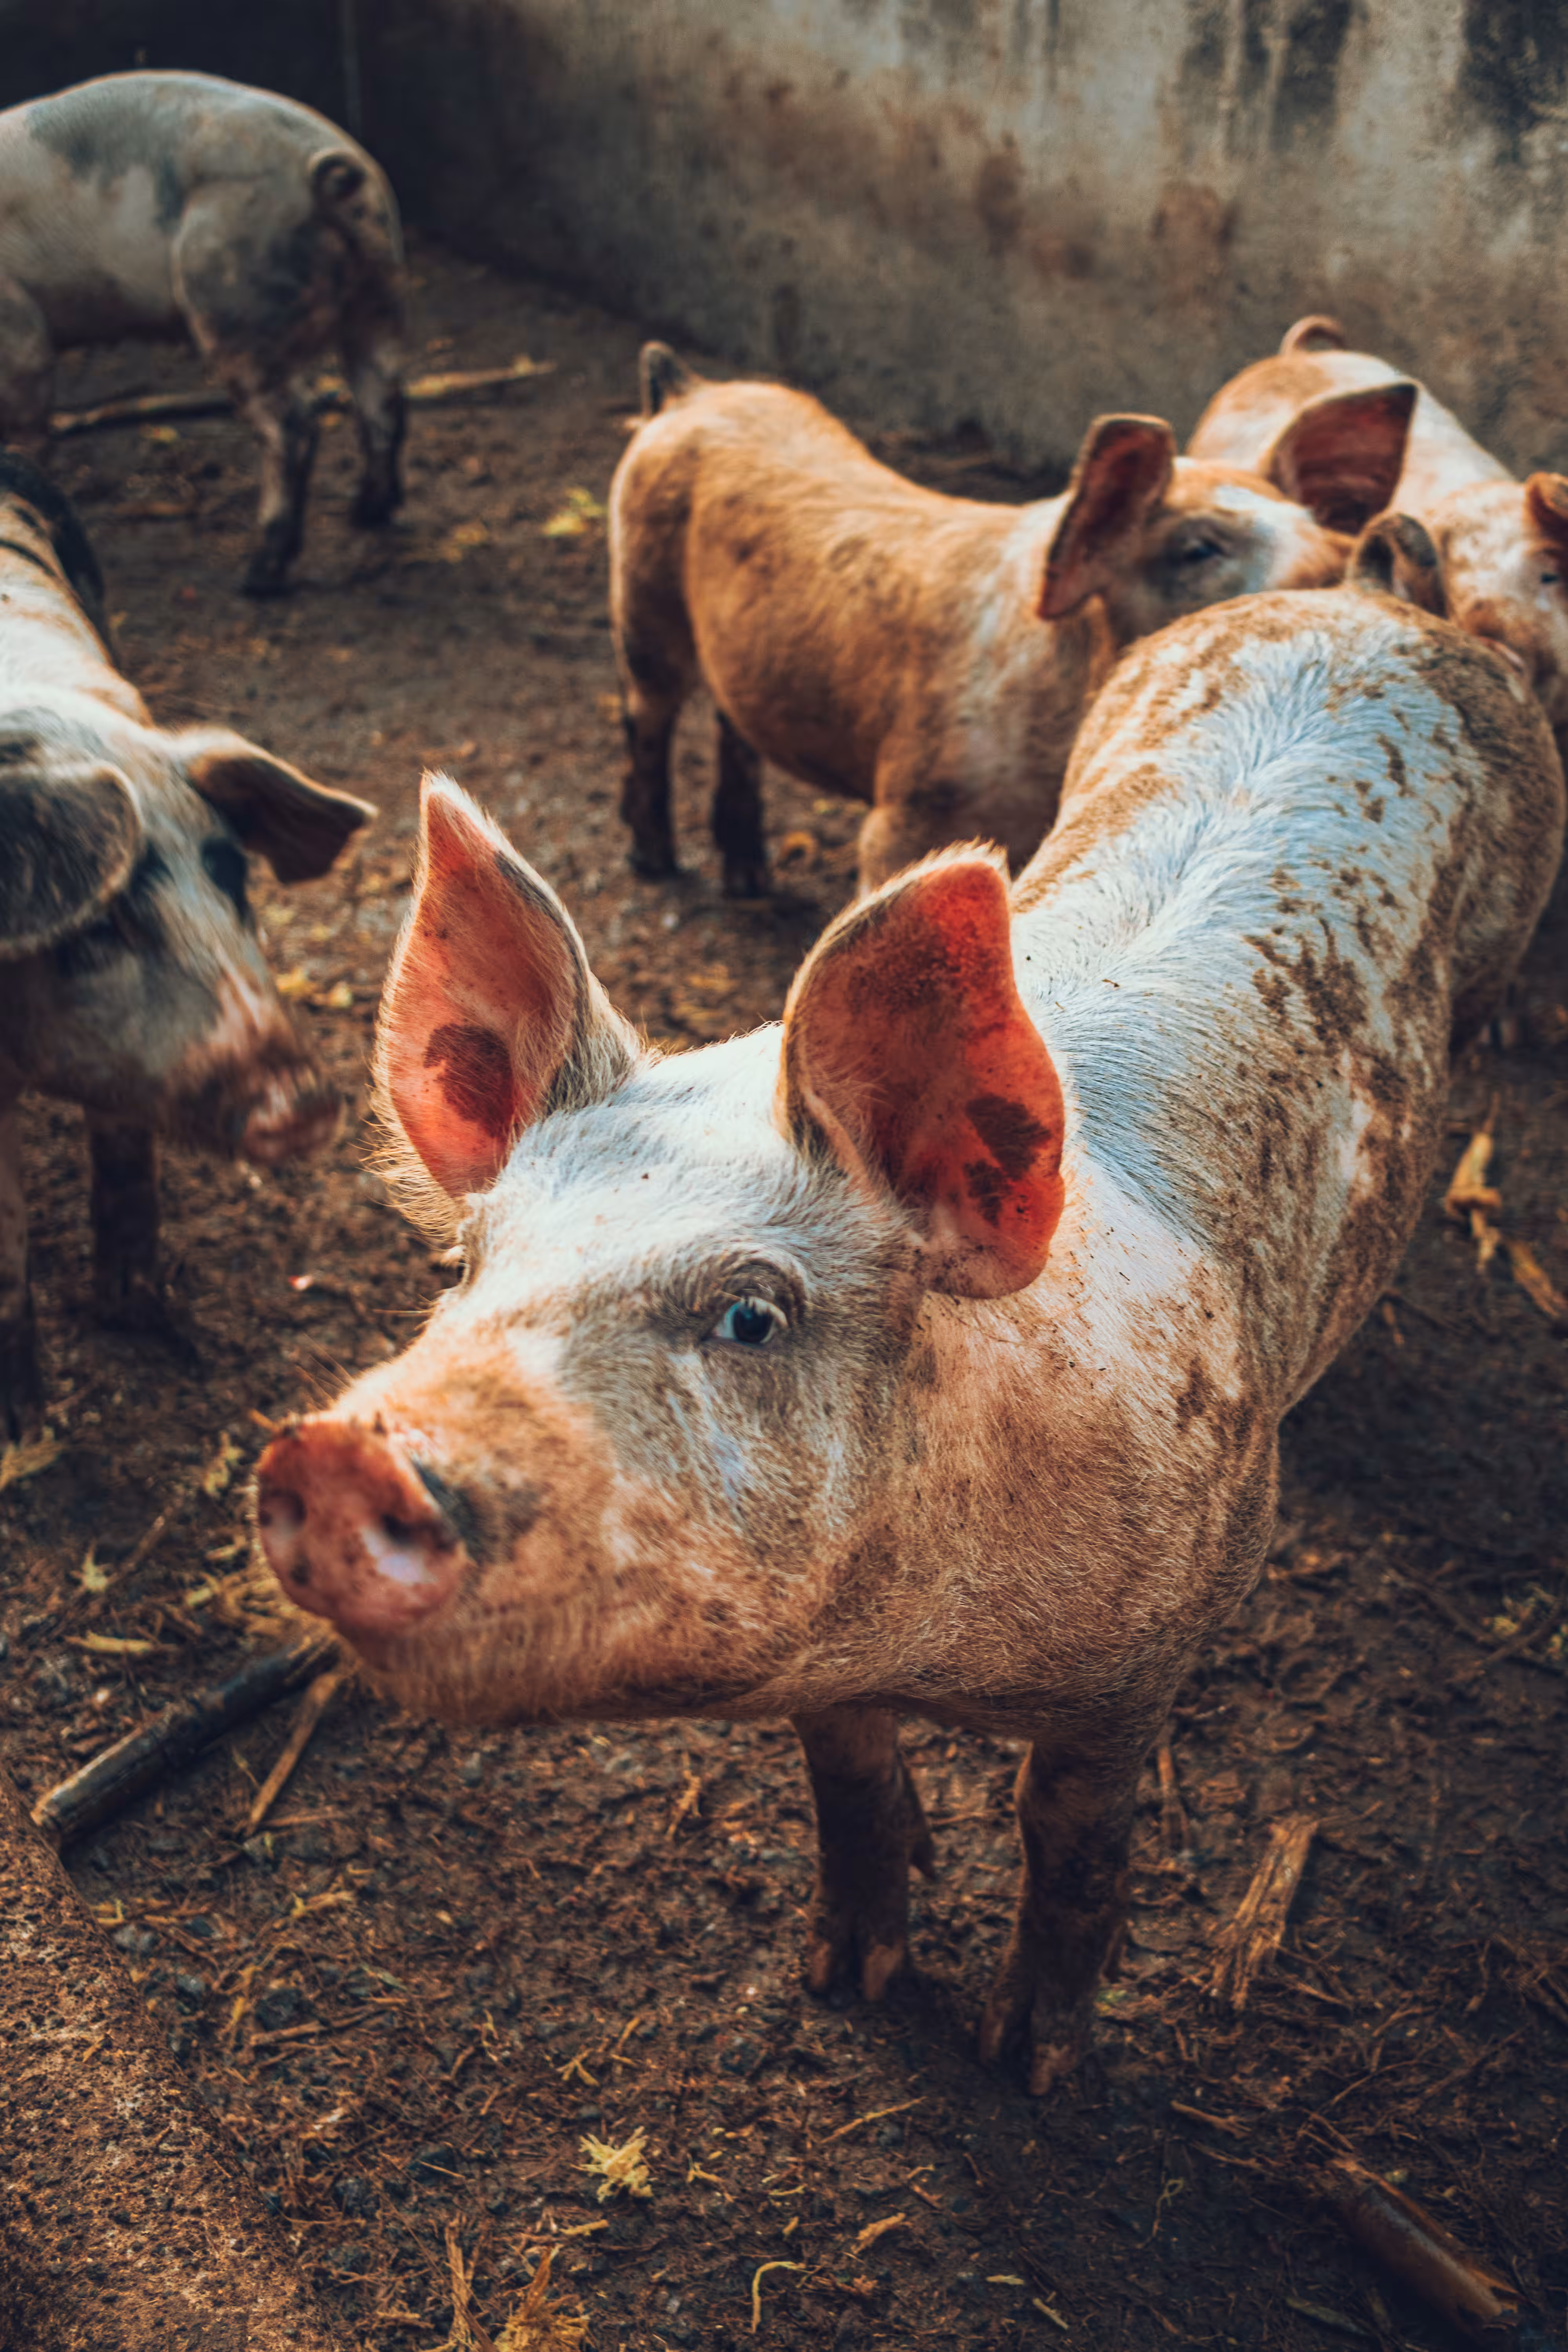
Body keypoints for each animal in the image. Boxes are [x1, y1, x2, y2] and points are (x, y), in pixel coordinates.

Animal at [0, 70, 407, 595]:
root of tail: (329, 169)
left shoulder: (18, 325)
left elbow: (27, 417)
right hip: (380, 287)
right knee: (382, 397)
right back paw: (367, 513)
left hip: (231, 297)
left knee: (294, 424)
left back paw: (257, 578)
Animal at [0, 448, 376, 1436]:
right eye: (96, 925)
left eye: (232, 873)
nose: (305, 1104)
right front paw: (25, 1436)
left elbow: (127, 1154)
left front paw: (138, 1317)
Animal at [253, 544, 1562, 2093]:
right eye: (465, 1265)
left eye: (751, 1315)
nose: (335, 1454)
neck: (928, 1633)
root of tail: (1365, 600)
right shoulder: (826, 1668)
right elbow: (850, 1783)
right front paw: (843, 1977)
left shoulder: (1154, 1646)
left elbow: (1072, 1840)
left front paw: (1030, 2065)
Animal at [609, 342, 1417, 896]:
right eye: (1196, 548)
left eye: (1312, 521)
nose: (1343, 555)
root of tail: (684, 393)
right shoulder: (908, 809)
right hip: (640, 596)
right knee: (648, 711)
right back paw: (653, 863)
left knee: (732, 722)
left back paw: (748, 879)